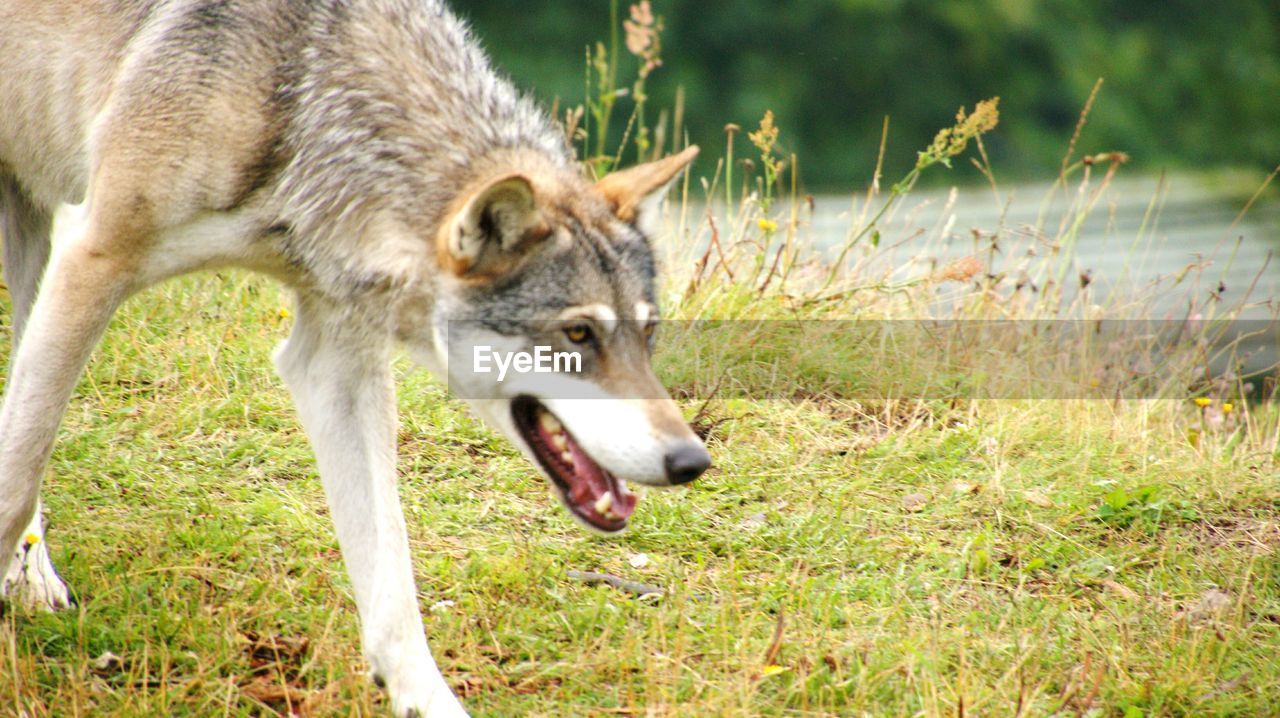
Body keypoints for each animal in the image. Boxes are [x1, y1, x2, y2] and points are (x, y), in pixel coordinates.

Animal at [0, 1, 711, 711]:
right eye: (579, 334)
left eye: (648, 333)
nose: (692, 460)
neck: (304, 98)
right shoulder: (94, 253)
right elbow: (19, 469)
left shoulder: (333, 357)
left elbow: (392, 580)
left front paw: (426, 698)